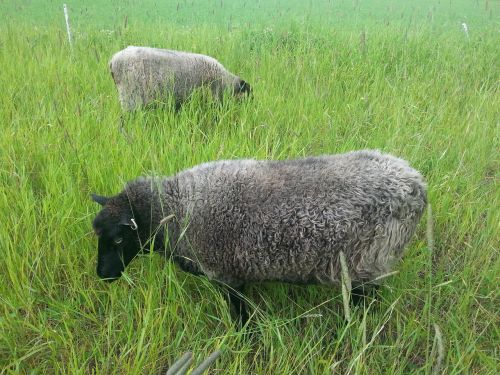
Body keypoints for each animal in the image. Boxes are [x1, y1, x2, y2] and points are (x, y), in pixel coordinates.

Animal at [91, 150, 426, 326]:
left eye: (119, 239)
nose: (103, 276)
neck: (176, 209)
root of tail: (415, 184)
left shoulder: (227, 276)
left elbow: (240, 317)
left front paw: (242, 338)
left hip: (371, 260)